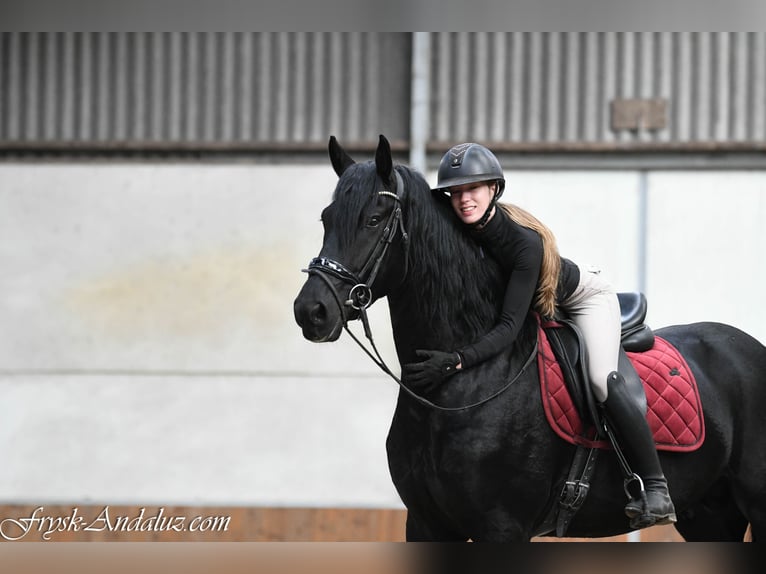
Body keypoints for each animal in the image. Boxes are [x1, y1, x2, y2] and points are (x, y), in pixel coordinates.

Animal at [293, 134, 766, 541]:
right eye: (325, 219)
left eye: (373, 220)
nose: (310, 311)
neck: (457, 389)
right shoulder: (426, 523)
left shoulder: (503, 526)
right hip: (709, 515)